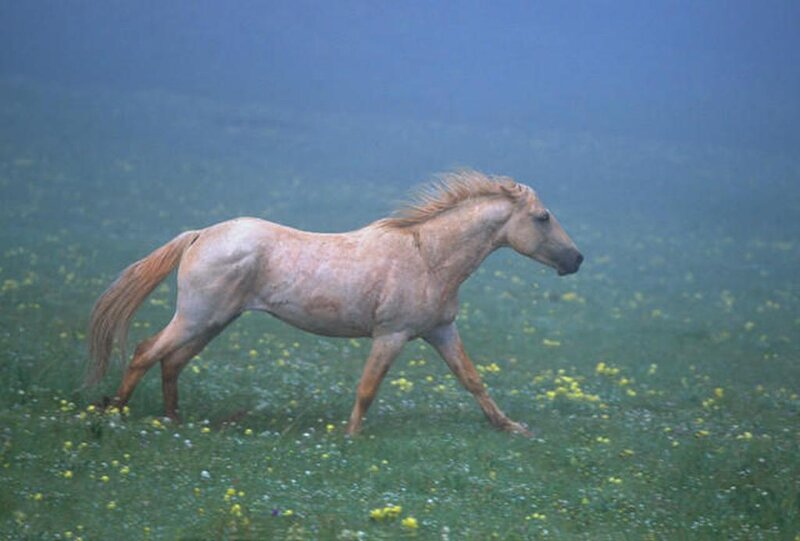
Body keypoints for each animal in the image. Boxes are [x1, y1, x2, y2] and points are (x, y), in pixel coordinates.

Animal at [87, 170, 583, 435]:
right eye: (543, 217)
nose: (576, 259)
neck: (428, 256)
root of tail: (200, 234)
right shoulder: (391, 335)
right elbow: (368, 388)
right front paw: (350, 436)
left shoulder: (441, 331)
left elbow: (473, 381)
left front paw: (511, 427)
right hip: (197, 317)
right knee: (145, 351)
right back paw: (114, 412)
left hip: (214, 321)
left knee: (171, 361)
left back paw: (173, 419)